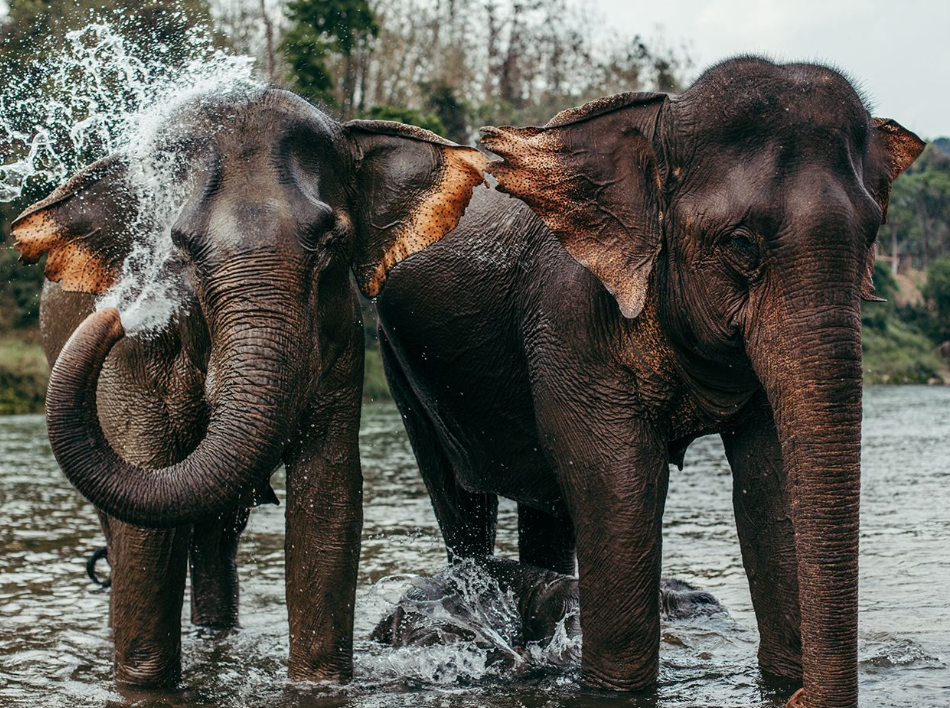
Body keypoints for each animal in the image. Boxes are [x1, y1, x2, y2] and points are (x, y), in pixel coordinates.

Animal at [10, 88, 488, 687]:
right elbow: (145, 527)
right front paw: (143, 685)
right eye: (179, 249)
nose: (121, 313)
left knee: (215, 535)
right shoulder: (134, 361)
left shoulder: (339, 340)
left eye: (332, 242)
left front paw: (317, 685)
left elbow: (327, 501)